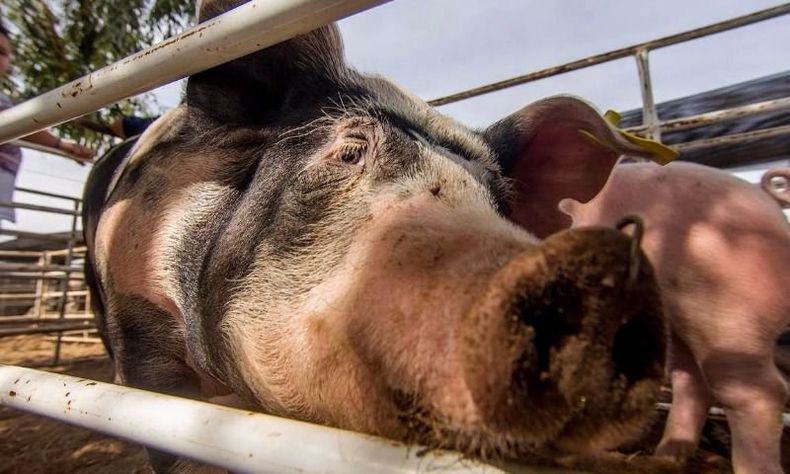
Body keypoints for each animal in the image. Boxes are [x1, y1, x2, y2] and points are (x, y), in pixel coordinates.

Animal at [559, 161, 790, 474]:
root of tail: (765, 199)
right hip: (682, 324)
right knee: (691, 380)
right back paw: (667, 455)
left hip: (728, 321)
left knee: (759, 393)